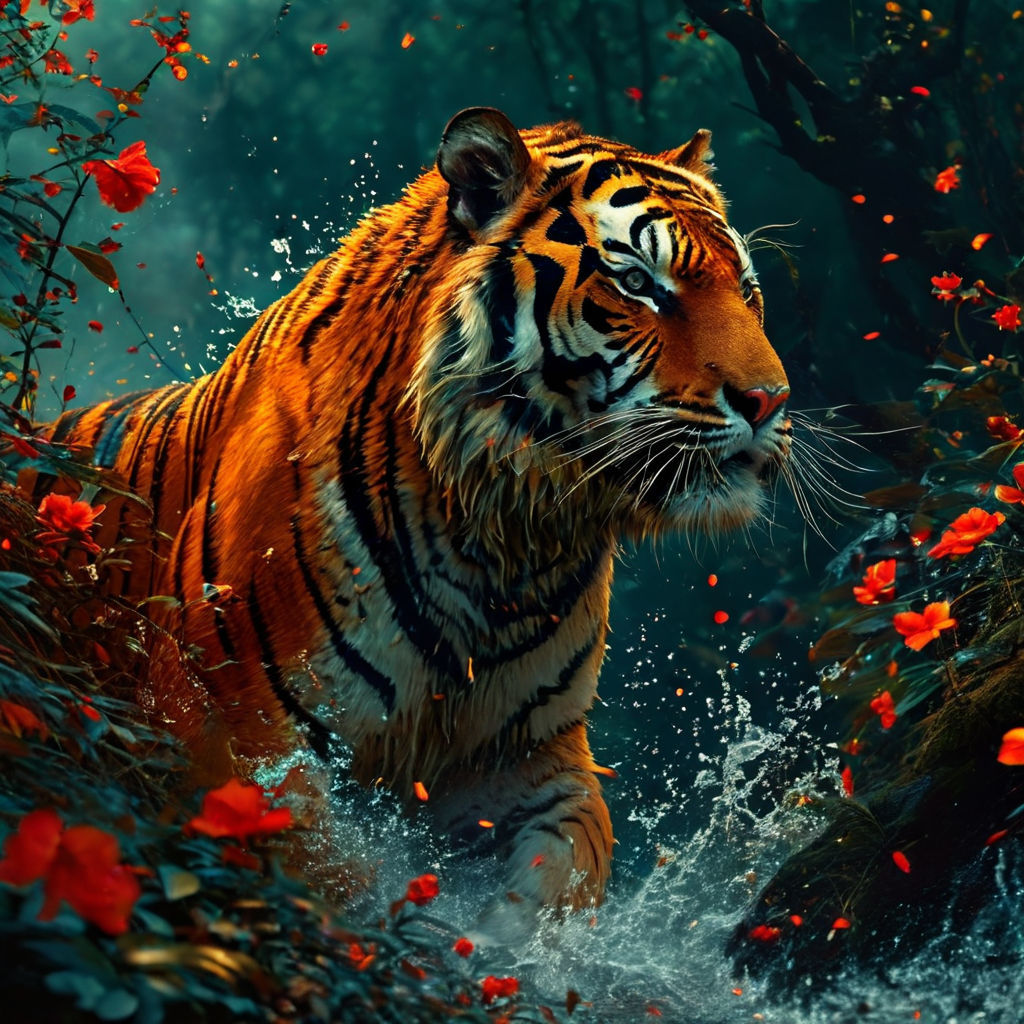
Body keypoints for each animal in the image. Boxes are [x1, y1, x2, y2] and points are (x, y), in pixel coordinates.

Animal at [33, 107, 791, 910]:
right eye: (639, 284)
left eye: (747, 289)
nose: (770, 401)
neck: (505, 543)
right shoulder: (235, 730)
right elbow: (337, 878)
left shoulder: (533, 758)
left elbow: (556, 883)